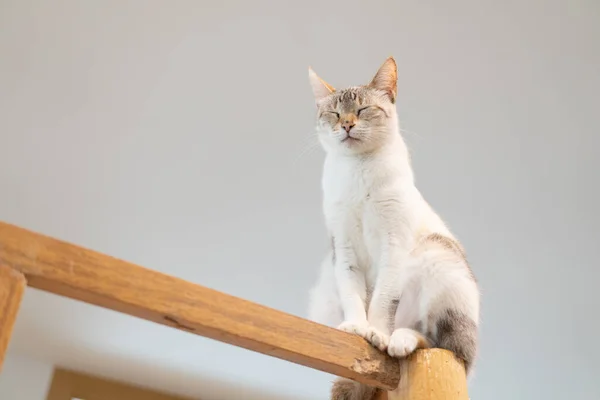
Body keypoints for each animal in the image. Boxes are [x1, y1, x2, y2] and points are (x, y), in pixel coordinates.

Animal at [308, 57, 480, 400]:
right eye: (334, 113)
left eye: (362, 110)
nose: (346, 125)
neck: (358, 170)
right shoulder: (343, 249)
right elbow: (353, 296)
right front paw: (356, 330)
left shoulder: (394, 245)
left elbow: (382, 300)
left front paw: (376, 334)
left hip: (436, 253)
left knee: (442, 346)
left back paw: (399, 340)